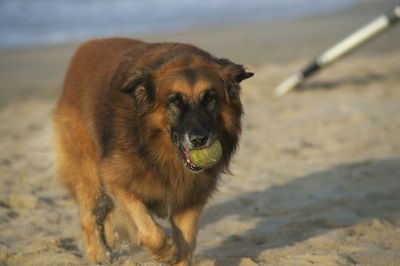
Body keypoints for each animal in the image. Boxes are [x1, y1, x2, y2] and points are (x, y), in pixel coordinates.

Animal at [53, 37, 253, 264]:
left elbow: (185, 244)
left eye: (210, 99)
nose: (199, 140)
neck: (158, 151)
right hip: (89, 173)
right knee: (88, 216)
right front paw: (165, 252)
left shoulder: (190, 198)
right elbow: (150, 231)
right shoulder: (116, 180)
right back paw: (97, 255)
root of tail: (85, 46)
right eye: (175, 101)